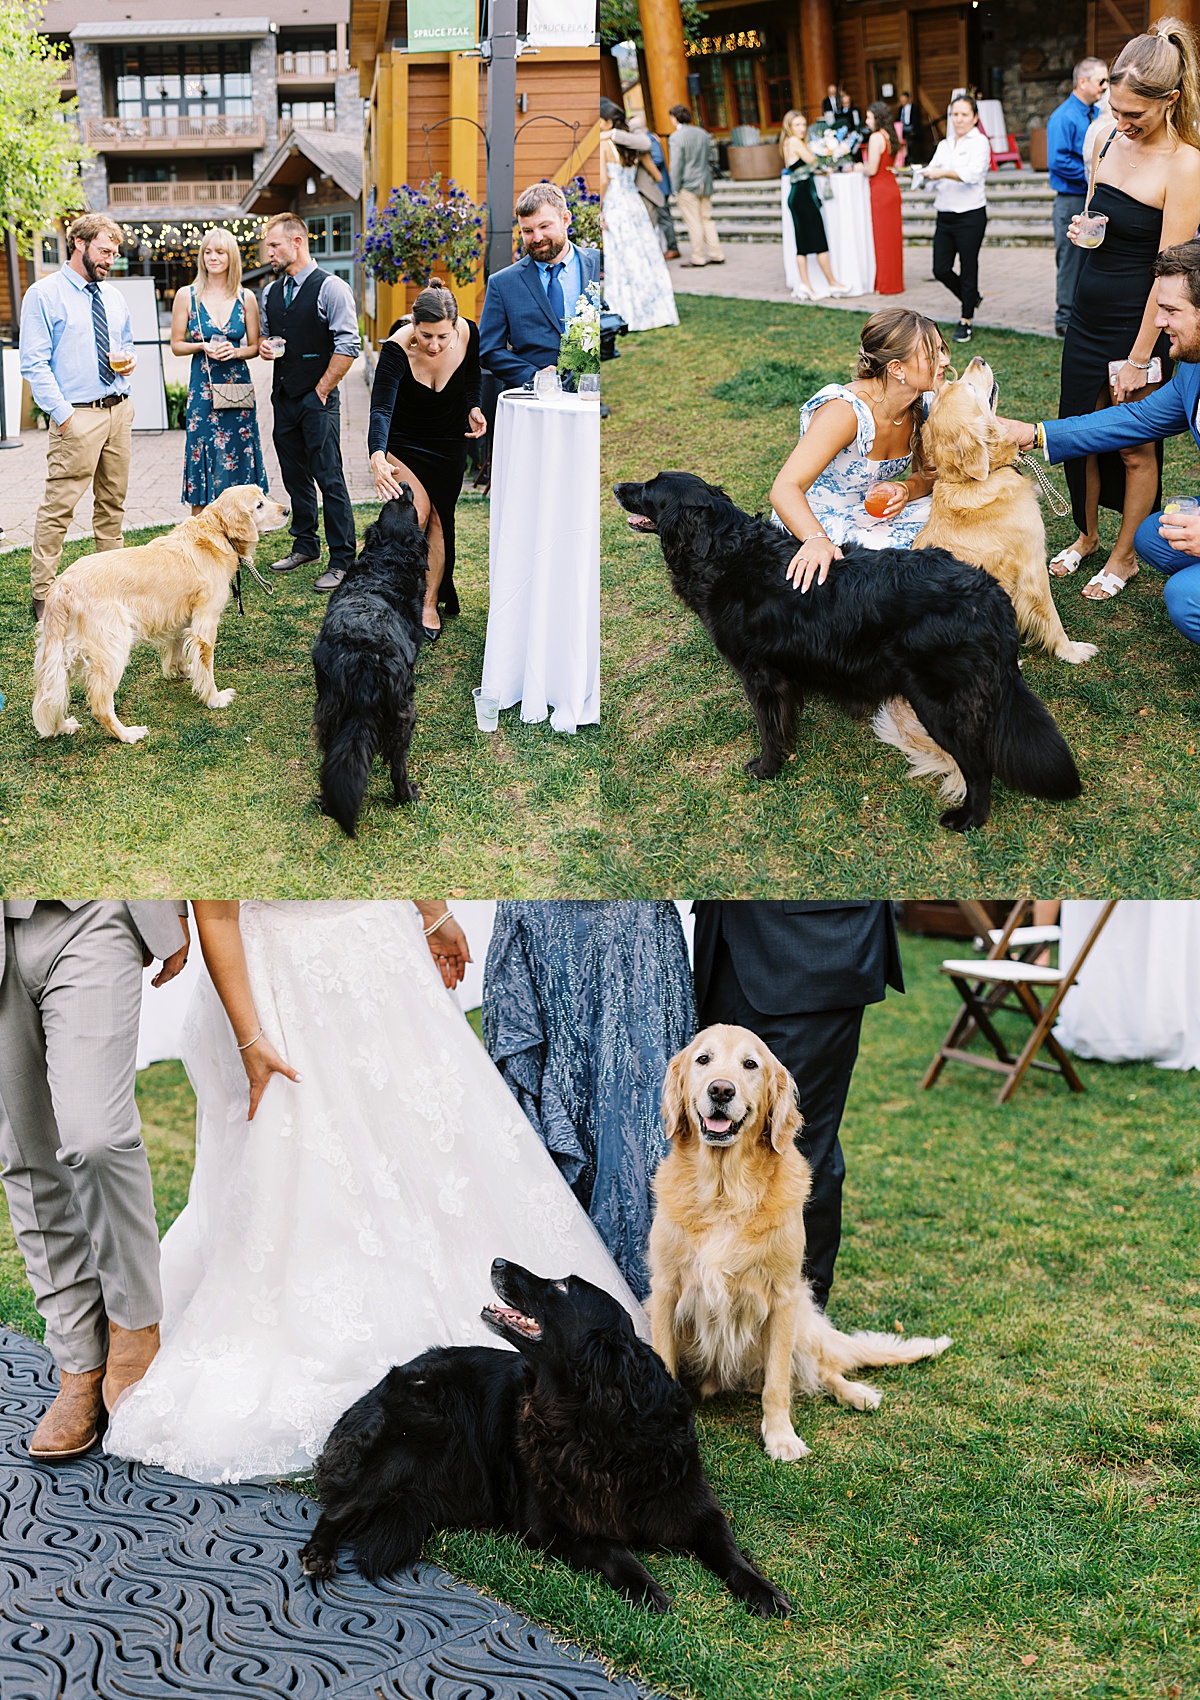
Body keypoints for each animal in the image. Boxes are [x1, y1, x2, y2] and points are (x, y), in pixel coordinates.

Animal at [297, 1264, 785, 1618]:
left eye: (564, 1288)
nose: (497, 1261)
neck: (594, 1428)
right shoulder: (553, 1527)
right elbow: (616, 1553)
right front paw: (648, 1589)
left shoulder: (693, 1504)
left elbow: (729, 1549)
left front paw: (763, 1590)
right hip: (413, 1442)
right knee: (338, 1510)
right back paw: (318, 1554)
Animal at [309, 493, 424, 836]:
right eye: (410, 506)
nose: (403, 487)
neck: (385, 566)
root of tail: (365, 659)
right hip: (403, 713)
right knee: (398, 764)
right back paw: (407, 795)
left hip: (329, 709)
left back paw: (326, 801)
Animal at [611, 472, 1081, 829]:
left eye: (649, 488)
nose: (616, 485)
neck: (726, 551)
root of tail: (989, 593)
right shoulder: (783, 676)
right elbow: (784, 721)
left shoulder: (759, 675)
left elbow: (767, 728)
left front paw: (766, 769)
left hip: (937, 702)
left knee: (979, 767)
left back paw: (968, 819)